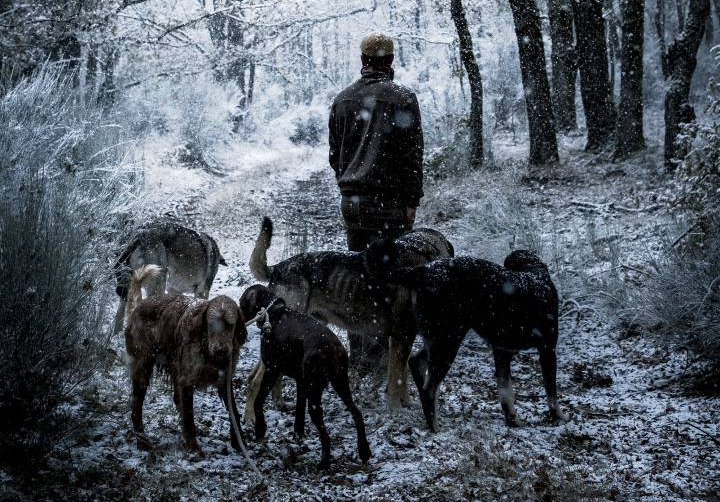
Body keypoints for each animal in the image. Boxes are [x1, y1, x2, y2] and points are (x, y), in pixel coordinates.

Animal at [124, 270, 248, 454]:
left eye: (230, 326)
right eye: (211, 325)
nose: (220, 351)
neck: (206, 349)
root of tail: (138, 306)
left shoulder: (224, 379)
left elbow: (234, 413)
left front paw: (239, 442)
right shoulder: (187, 381)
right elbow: (189, 415)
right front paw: (193, 446)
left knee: (175, 400)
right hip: (143, 369)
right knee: (136, 407)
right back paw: (142, 442)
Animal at [239, 286, 372, 470]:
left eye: (241, 302)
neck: (274, 314)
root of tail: (330, 348)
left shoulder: (272, 370)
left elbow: (259, 401)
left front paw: (260, 429)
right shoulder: (301, 381)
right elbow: (299, 410)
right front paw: (298, 434)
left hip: (316, 393)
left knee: (325, 434)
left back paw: (324, 462)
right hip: (340, 382)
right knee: (357, 413)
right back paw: (364, 451)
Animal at [245, 216, 452, 416]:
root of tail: (277, 268)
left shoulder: (403, 340)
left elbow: (403, 377)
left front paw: (406, 404)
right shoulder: (400, 338)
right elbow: (396, 380)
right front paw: (397, 411)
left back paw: (280, 404)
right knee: (254, 380)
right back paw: (251, 420)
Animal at [372, 243, 568, 432]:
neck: (535, 276)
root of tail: (422, 270)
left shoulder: (502, 352)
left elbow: (505, 392)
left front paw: (512, 419)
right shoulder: (547, 349)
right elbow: (551, 391)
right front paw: (558, 416)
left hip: (439, 338)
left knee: (415, 362)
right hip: (449, 340)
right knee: (429, 389)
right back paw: (435, 427)